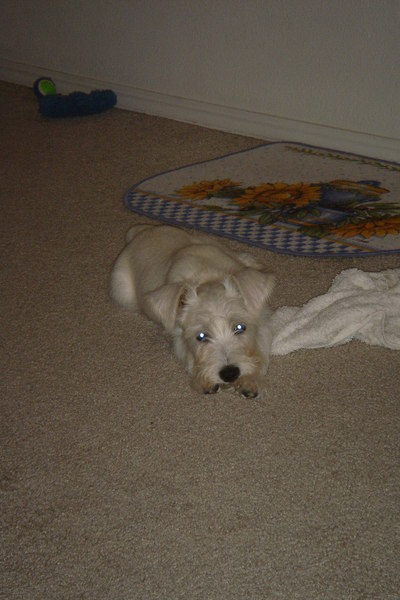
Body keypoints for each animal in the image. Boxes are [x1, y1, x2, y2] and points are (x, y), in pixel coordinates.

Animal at [110, 224, 275, 398]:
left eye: (240, 327)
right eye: (201, 336)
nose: (229, 374)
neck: (208, 277)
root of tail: (142, 231)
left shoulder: (263, 321)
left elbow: (263, 351)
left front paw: (250, 380)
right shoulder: (178, 338)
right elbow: (189, 359)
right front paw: (205, 382)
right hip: (122, 293)